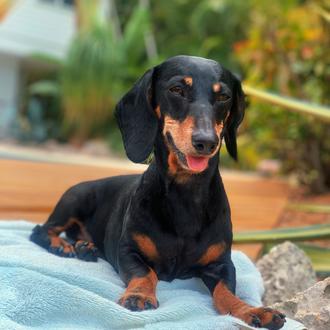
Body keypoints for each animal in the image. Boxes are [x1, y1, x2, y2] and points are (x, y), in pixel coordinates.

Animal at [30, 55, 286, 328]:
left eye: (224, 96)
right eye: (177, 89)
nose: (206, 142)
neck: (186, 195)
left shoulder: (222, 264)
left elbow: (226, 291)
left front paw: (251, 310)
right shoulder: (128, 251)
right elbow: (146, 272)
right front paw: (139, 295)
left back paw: (85, 248)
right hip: (74, 199)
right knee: (41, 230)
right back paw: (61, 246)